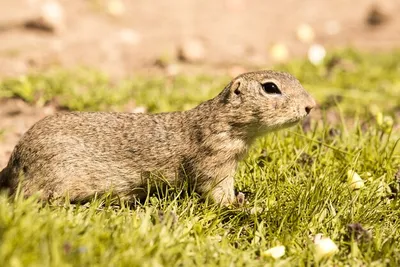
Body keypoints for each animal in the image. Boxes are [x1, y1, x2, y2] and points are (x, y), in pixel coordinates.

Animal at [0, 70, 316, 205]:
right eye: (271, 87)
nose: (311, 105)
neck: (221, 120)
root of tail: (14, 161)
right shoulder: (214, 162)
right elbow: (216, 192)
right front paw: (244, 205)